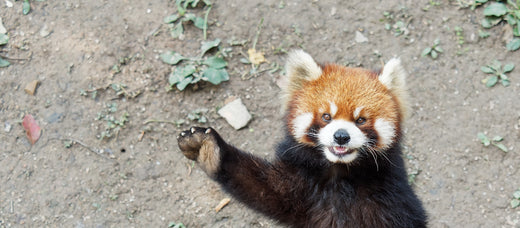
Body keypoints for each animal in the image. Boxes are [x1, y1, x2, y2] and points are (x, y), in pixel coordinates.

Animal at [178, 50, 426, 227]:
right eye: (326, 116)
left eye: (361, 120)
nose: (341, 136)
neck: (339, 174)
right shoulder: (300, 187)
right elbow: (264, 189)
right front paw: (210, 150)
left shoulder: (392, 197)